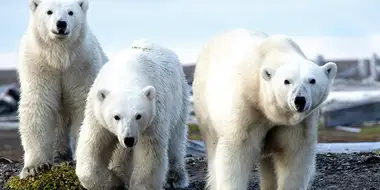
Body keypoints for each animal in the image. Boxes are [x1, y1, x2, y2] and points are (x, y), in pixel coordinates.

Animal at [17, 0, 107, 179]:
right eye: (49, 11)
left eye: (70, 12)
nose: (61, 24)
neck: (59, 56)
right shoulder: (39, 66)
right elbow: (38, 105)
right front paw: (33, 167)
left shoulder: (82, 66)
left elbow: (82, 105)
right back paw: (59, 154)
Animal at [75, 39, 190, 190]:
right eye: (116, 116)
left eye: (138, 116)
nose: (128, 139)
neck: (127, 74)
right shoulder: (97, 114)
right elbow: (93, 144)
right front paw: (113, 182)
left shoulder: (154, 116)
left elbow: (149, 154)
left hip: (179, 99)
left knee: (176, 139)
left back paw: (176, 178)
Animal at [193, 28, 338, 190]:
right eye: (286, 81)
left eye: (312, 80)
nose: (299, 100)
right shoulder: (247, 108)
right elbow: (236, 152)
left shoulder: (299, 123)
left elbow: (294, 155)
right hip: (205, 106)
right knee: (213, 148)